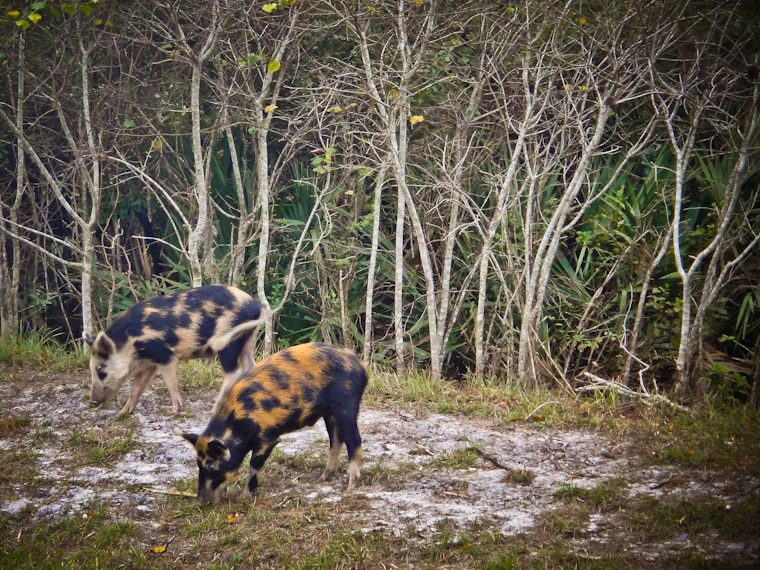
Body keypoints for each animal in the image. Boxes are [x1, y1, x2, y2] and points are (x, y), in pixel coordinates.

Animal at [84, 284, 264, 412]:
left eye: (100, 368)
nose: (93, 400)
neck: (131, 341)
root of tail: (254, 305)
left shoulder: (164, 354)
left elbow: (170, 381)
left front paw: (175, 410)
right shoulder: (149, 363)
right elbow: (137, 387)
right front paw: (124, 412)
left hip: (229, 339)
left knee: (233, 372)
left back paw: (214, 409)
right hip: (249, 338)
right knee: (250, 365)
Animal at [178, 340, 368, 500]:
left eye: (211, 465)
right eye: (198, 463)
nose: (201, 500)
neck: (237, 422)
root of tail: (360, 365)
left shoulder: (267, 436)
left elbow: (254, 465)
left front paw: (244, 497)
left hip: (346, 405)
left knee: (354, 440)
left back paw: (350, 487)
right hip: (330, 412)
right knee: (336, 440)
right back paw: (323, 478)